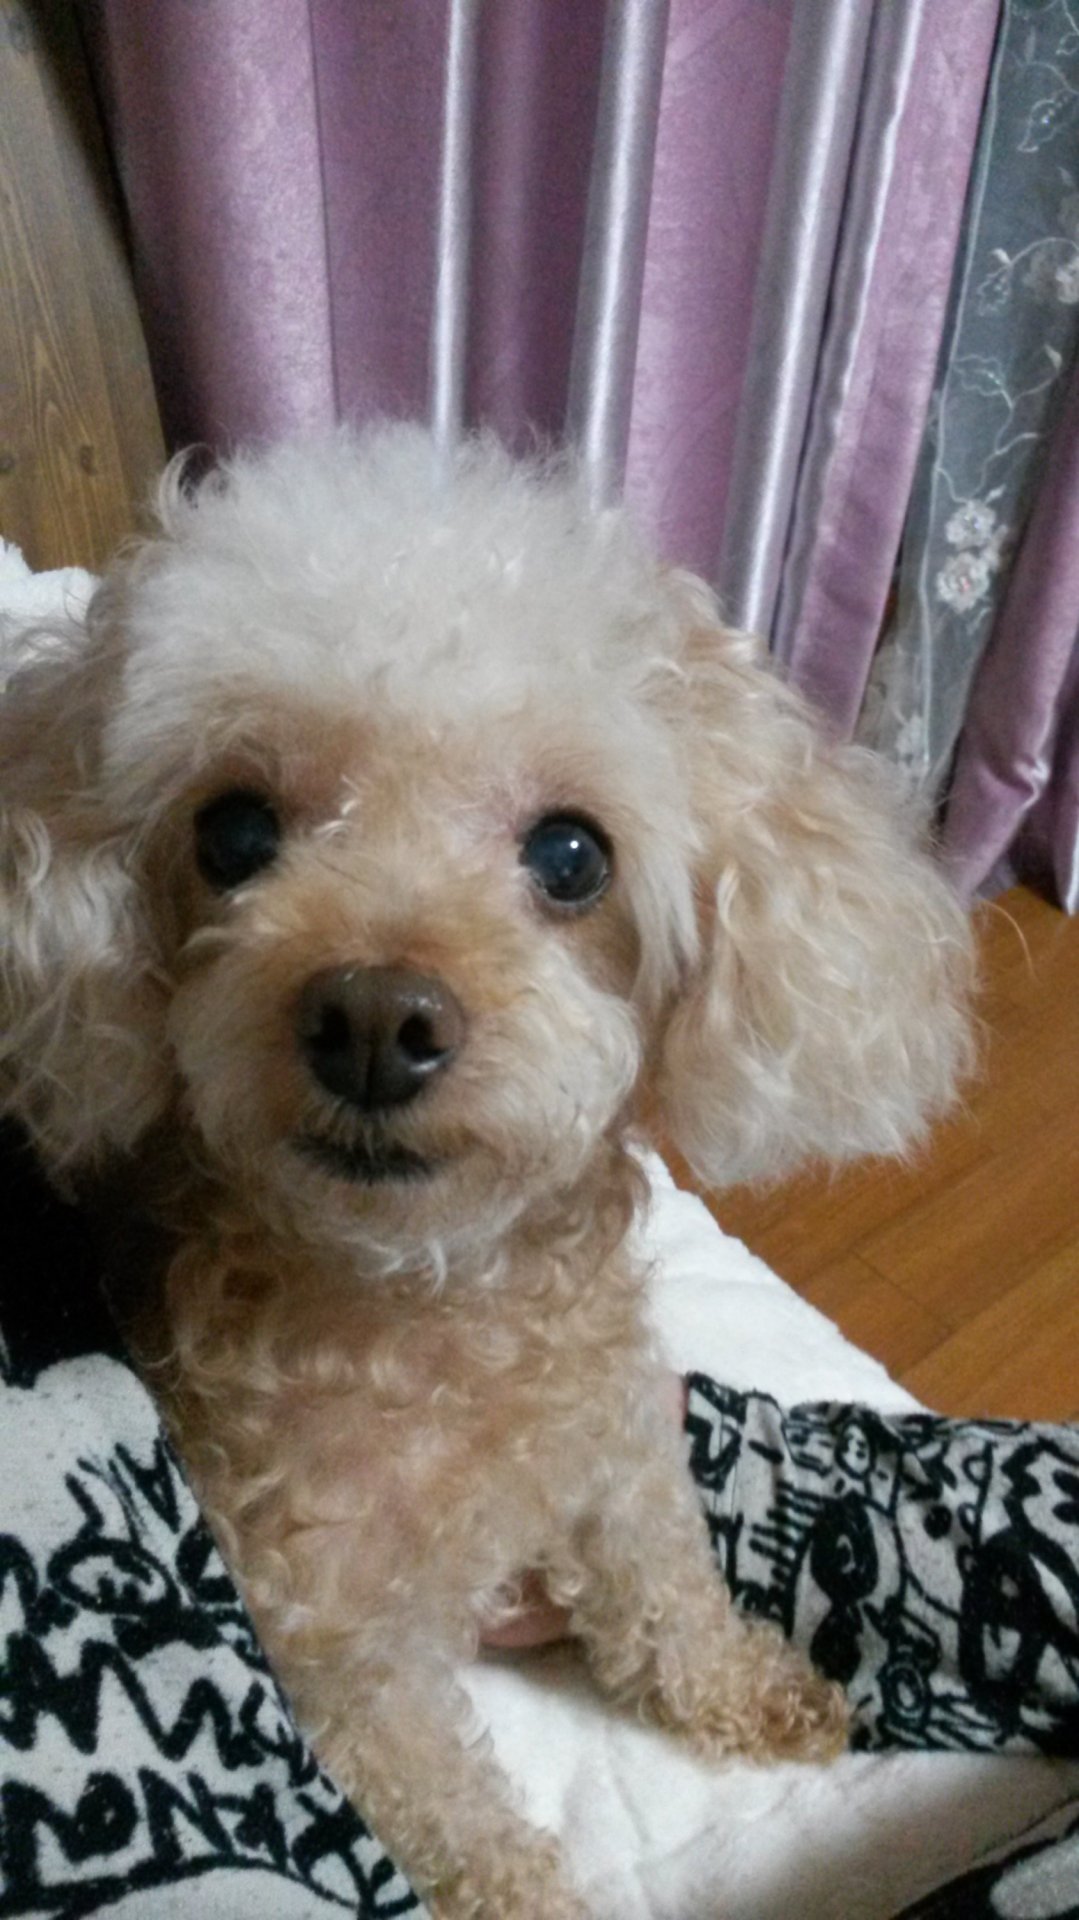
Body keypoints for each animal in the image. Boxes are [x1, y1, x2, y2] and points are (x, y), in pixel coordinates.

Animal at [0, 428, 974, 1917]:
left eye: (569, 855)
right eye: (232, 835)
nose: (373, 1020)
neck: (433, 1309)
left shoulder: (620, 1456)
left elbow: (668, 1592)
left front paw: (750, 1692)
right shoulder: (334, 1656)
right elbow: (450, 1807)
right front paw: (528, 1889)